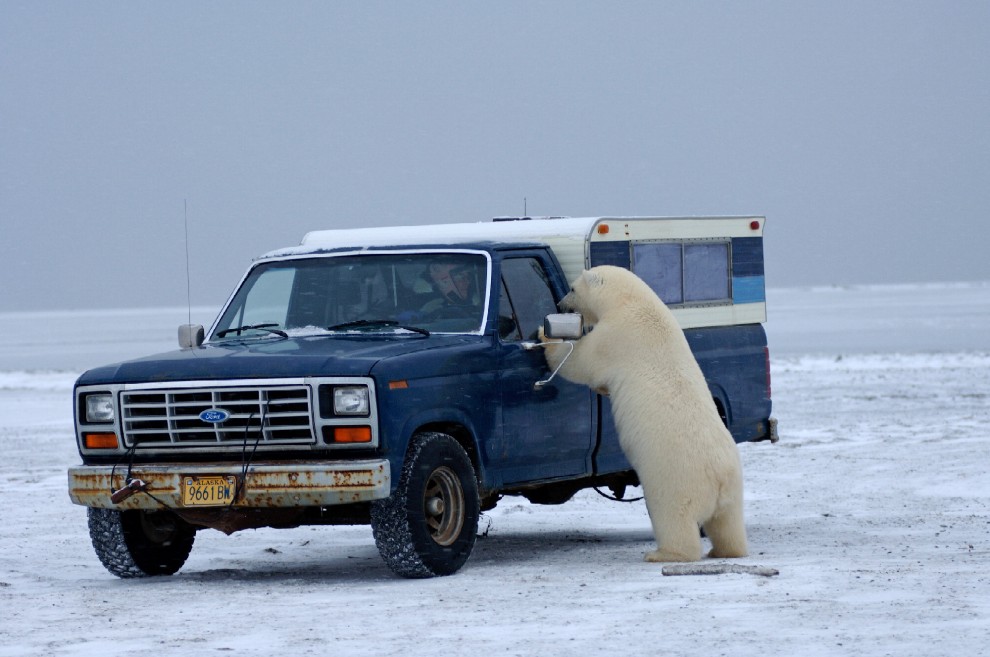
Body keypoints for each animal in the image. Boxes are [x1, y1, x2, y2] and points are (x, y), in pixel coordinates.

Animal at [541, 265, 748, 562]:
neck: (633, 301)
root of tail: (718, 479)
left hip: (675, 480)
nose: (560, 304)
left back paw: (663, 554)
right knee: (728, 523)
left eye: (572, 288)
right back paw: (725, 550)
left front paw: (545, 336)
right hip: (733, 488)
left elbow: (581, 360)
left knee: (674, 517)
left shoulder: (615, 336)